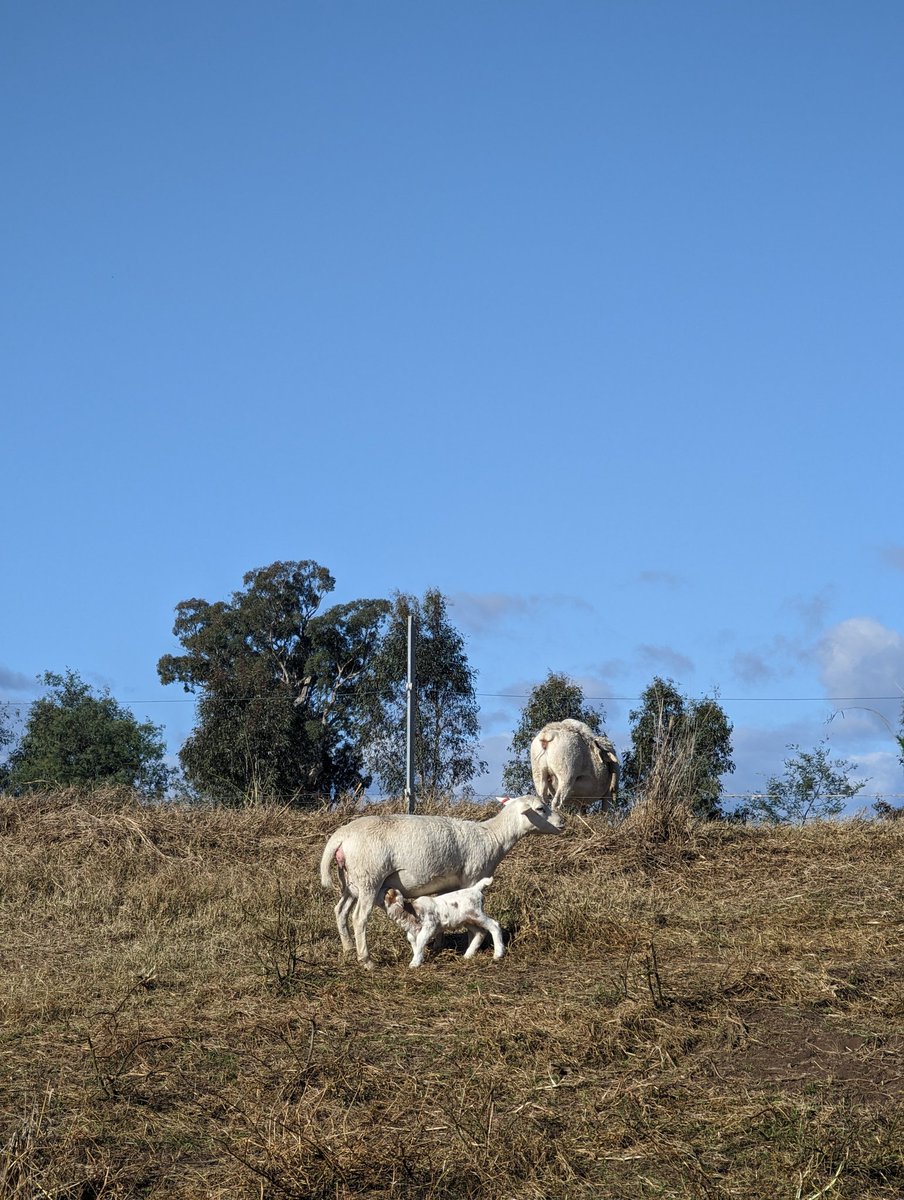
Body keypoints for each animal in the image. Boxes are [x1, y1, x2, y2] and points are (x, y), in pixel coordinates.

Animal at [319, 794, 564, 967]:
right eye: (540, 809)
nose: (563, 822)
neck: (494, 837)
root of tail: (340, 836)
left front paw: (437, 944)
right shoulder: (472, 878)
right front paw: (470, 944)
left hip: (351, 882)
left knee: (340, 911)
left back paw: (348, 949)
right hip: (369, 877)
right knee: (359, 918)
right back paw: (366, 960)